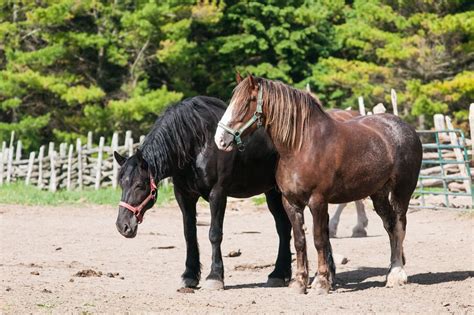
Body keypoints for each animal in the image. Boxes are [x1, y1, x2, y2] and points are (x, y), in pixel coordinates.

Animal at [115, 97, 292, 292]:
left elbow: (214, 234)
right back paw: (280, 275)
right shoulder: (184, 196)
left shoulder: (218, 193)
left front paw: (215, 276)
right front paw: (189, 276)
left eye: (139, 185)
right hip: (271, 192)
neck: (196, 144)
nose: (122, 226)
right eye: (122, 184)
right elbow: (189, 234)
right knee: (284, 227)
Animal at [215, 76, 422, 296]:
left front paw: (321, 282)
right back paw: (392, 270)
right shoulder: (291, 203)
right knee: (390, 227)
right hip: (379, 194)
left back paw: (397, 275)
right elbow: (299, 241)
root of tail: (406, 128)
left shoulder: (318, 201)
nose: (220, 140)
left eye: (247, 102)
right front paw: (299, 282)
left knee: (399, 226)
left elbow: (319, 239)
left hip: (401, 192)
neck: (301, 147)